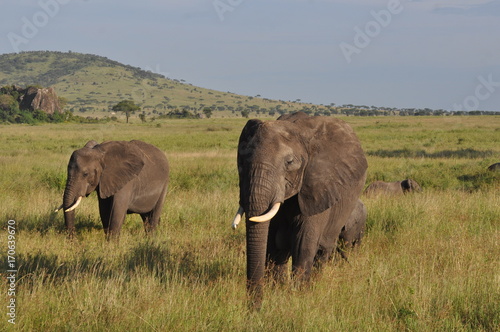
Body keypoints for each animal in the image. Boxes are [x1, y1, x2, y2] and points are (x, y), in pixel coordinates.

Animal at [231, 112, 368, 308]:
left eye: (289, 162)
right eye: (241, 162)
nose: (253, 309)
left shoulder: (318, 186)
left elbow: (303, 243)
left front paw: (299, 296)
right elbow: (272, 243)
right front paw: (277, 290)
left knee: (323, 249)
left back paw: (316, 284)